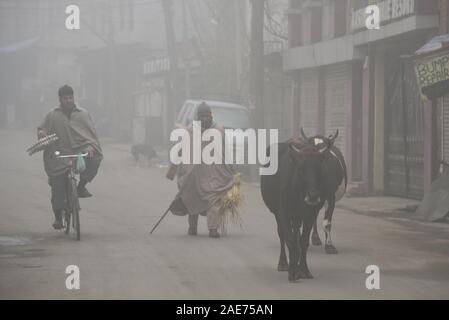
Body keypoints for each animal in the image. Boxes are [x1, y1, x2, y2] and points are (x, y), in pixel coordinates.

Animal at [260, 131, 336, 282]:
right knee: (282, 235)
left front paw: (304, 270)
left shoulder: (311, 214)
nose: (313, 196)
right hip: (279, 214)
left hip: (297, 217)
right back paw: (284, 263)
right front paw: (292, 271)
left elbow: (303, 241)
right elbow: (289, 239)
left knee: (296, 234)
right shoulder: (282, 212)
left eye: (319, 168)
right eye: (301, 169)